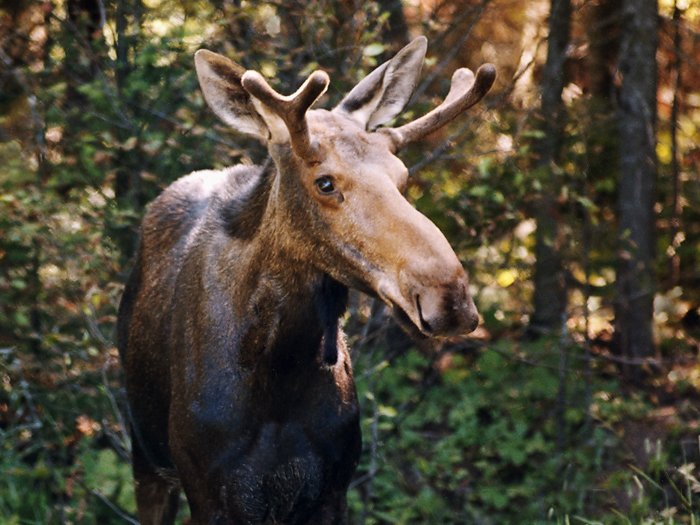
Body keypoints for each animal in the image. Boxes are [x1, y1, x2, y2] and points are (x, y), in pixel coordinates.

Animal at [117, 37, 494, 524]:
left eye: (402, 177)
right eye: (325, 182)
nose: (449, 297)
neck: (280, 373)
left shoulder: (332, 488)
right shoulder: (208, 492)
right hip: (144, 453)